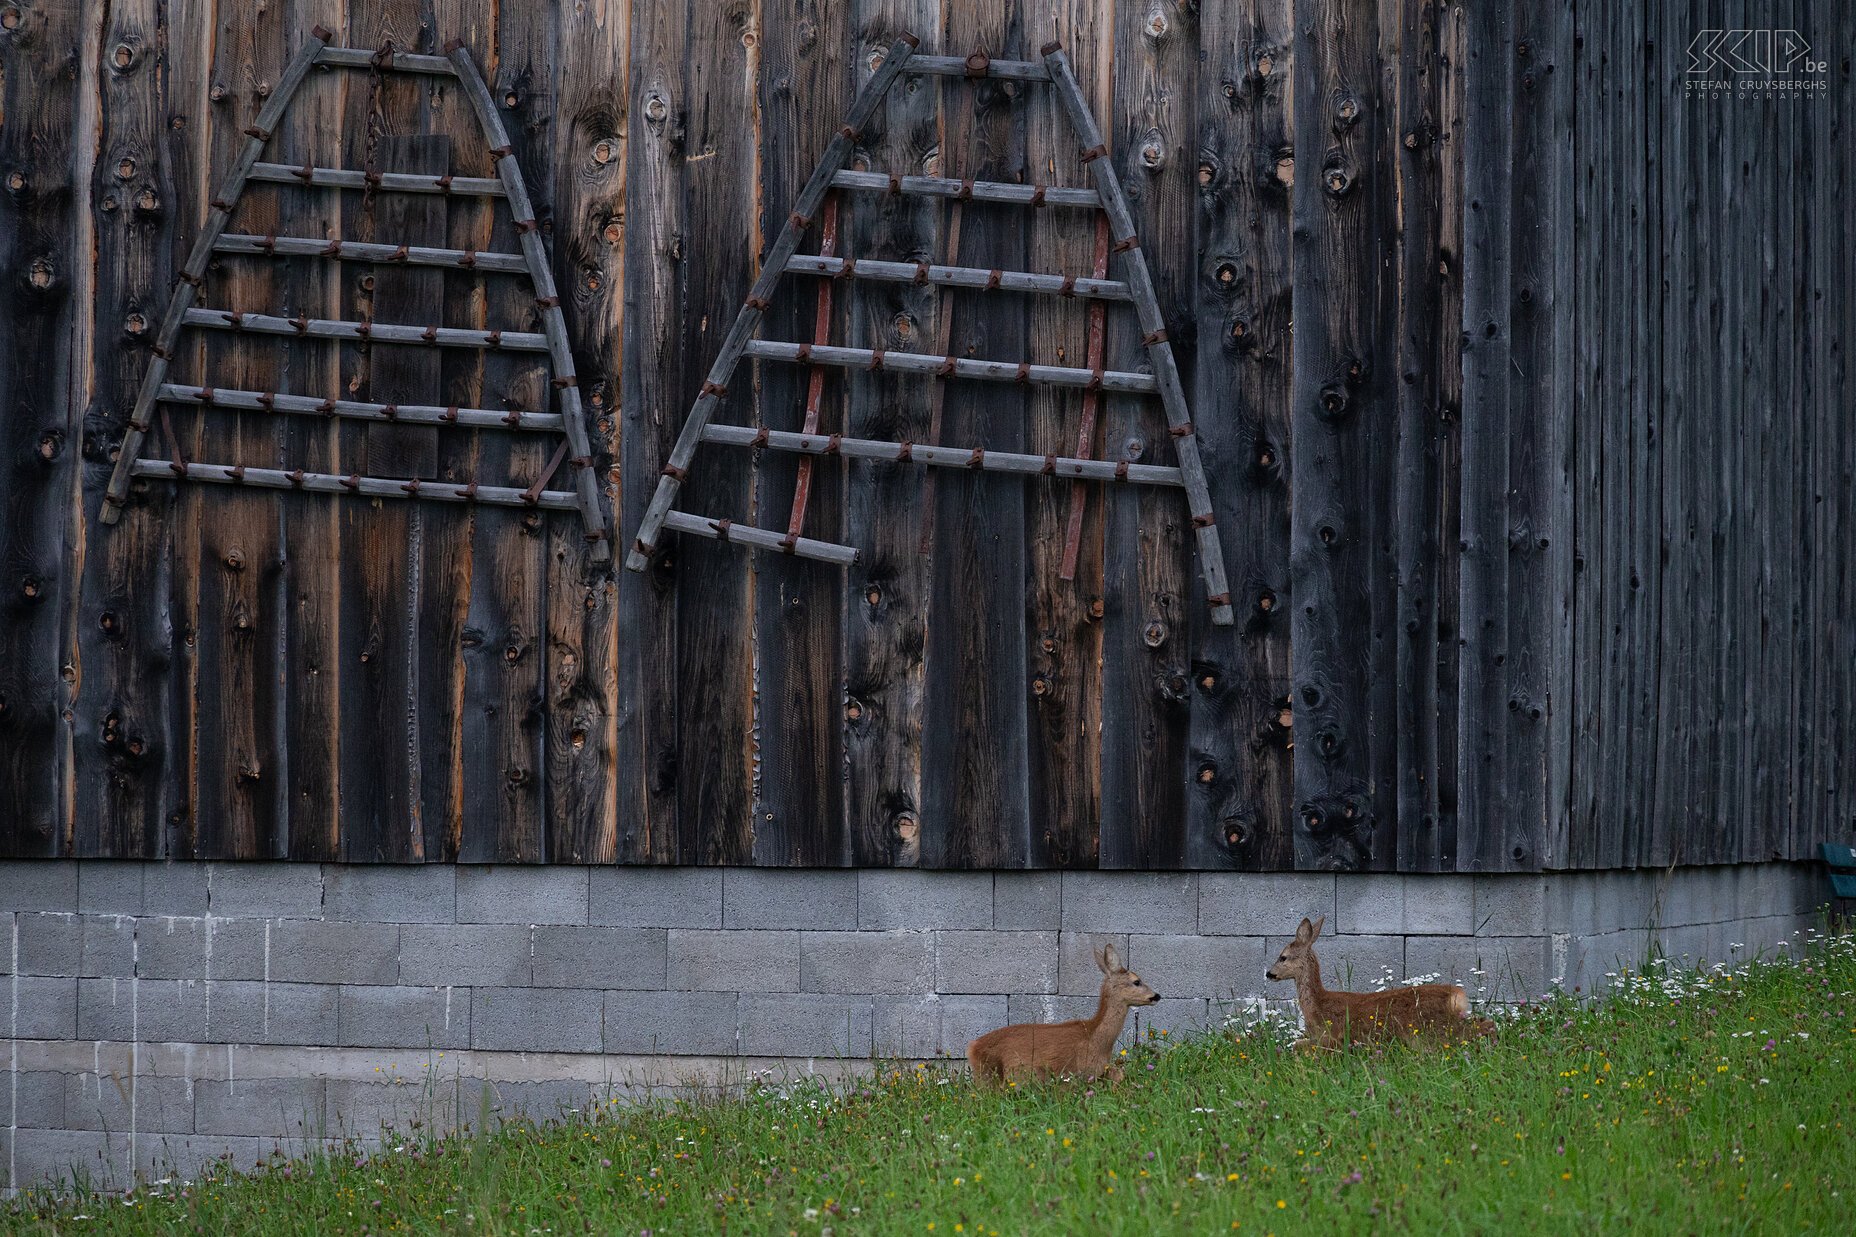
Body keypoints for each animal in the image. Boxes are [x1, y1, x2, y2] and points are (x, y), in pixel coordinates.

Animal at [1262, 910, 1492, 1047]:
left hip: (1431, 1029)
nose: (1269, 973)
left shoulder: (1330, 1036)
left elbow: (1297, 1046)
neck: (1317, 1005)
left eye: (1283, 957)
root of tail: (1457, 995)